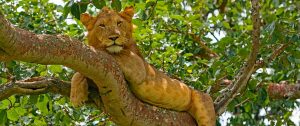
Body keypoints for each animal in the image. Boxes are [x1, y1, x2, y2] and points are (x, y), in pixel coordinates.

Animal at [70, 6, 216, 126]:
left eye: (119, 23)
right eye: (102, 25)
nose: (114, 37)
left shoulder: (137, 66)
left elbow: (100, 53)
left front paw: (76, 95)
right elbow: (79, 73)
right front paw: (77, 94)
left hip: (204, 103)